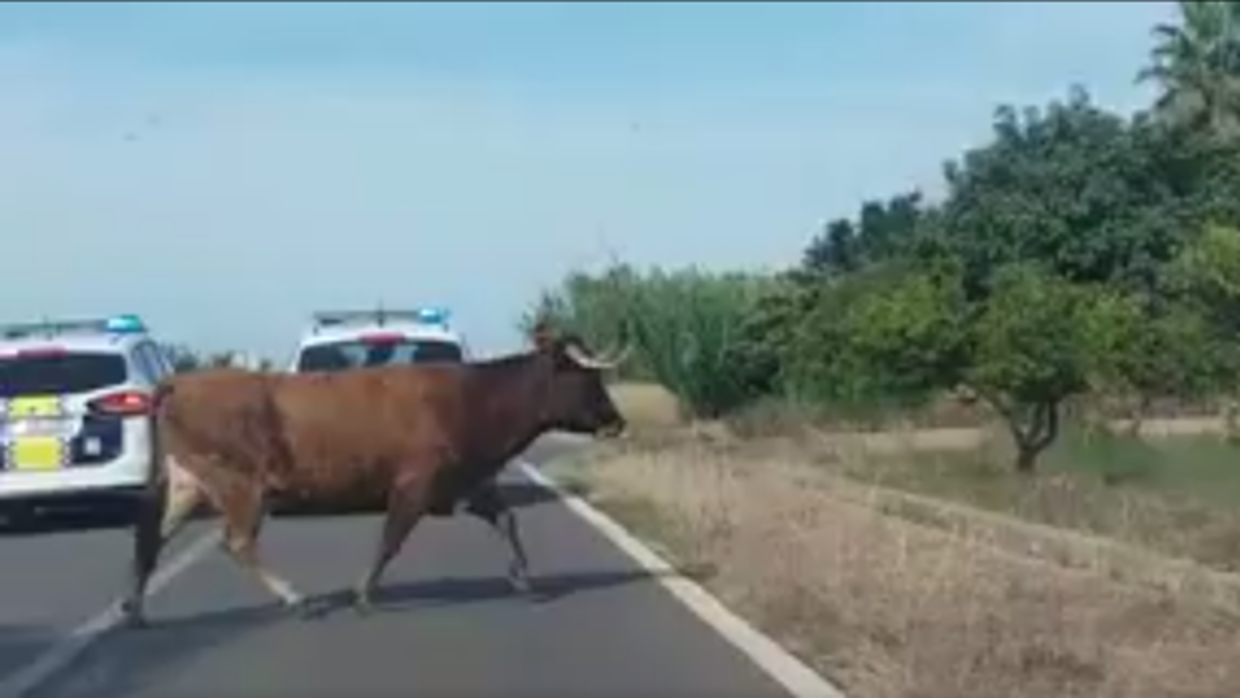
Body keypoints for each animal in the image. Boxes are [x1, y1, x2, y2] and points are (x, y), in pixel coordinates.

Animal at [118, 326, 628, 628]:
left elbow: (507, 521)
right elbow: (391, 539)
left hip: (187, 483)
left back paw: (135, 608)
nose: (616, 421)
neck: (475, 397)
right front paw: (364, 593)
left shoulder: (466, 481)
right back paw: (295, 598)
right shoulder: (415, 484)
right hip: (240, 485)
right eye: (589, 379)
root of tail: (181, 381)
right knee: (236, 542)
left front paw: (524, 580)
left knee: (152, 537)